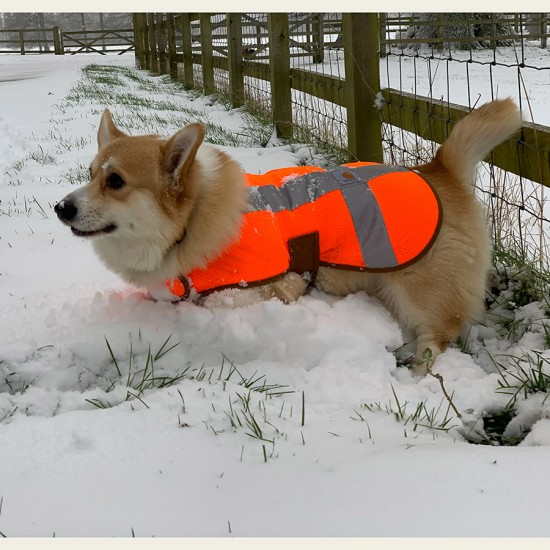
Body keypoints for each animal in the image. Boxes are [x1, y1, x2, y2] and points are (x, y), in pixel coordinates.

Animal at [54, 98, 524, 376]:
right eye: (90, 174)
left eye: (116, 181)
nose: (61, 208)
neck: (190, 223)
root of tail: (439, 170)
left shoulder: (265, 291)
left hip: (415, 287)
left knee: (438, 335)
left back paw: (418, 374)